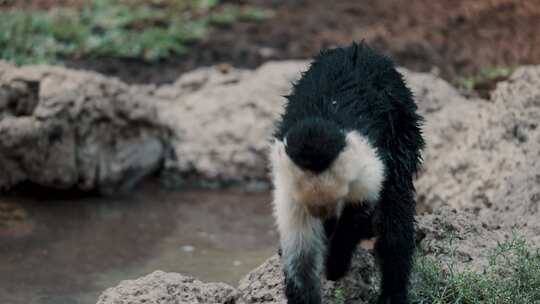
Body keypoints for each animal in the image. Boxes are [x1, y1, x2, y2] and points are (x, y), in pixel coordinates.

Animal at [268, 43, 424, 304]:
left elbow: (359, 217)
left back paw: (393, 294)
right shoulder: (289, 191)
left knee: (396, 211)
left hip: (402, 123)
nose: (325, 219)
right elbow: (301, 258)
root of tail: (358, 47)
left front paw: (335, 265)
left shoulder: (367, 166)